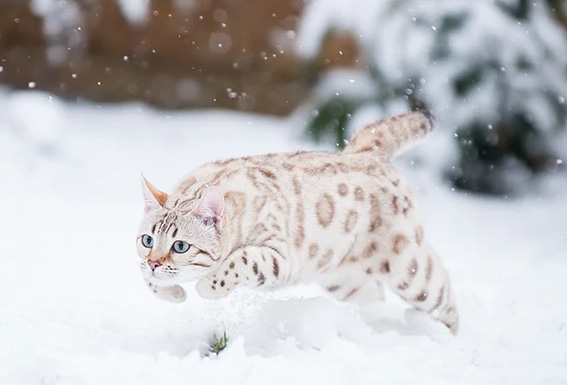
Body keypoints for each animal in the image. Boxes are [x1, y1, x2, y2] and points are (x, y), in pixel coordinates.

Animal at [139, 110, 462, 332]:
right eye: (147, 240)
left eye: (181, 246)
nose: (155, 262)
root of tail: (364, 153)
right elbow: (146, 280)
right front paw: (175, 293)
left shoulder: (280, 258)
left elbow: (240, 260)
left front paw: (205, 287)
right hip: (341, 279)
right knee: (376, 298)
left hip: (408, 269)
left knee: (444, 295)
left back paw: (442, 339)